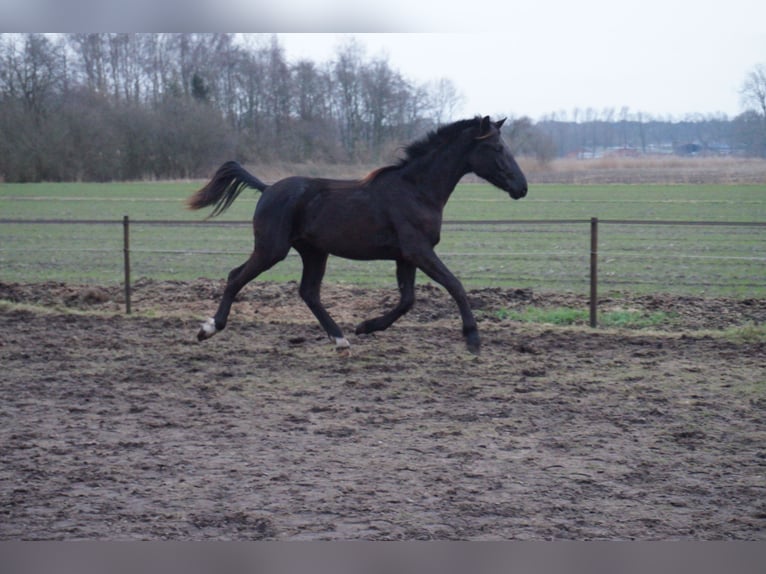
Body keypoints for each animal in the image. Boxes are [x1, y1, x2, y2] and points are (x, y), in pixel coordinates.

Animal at [189, 116, 532, 356]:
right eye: (497, 148)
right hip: (272, 249)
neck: (416, 190)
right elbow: (454, 285)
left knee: (308, 292)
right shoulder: (419, 250)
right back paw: (208, 328)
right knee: (236, 277)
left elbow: (407, 299)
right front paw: (473, 339)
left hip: (314, 252)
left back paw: (341, 340)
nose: (522, 187)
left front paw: (366, 327)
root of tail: (267, 188)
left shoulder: (405, 256)